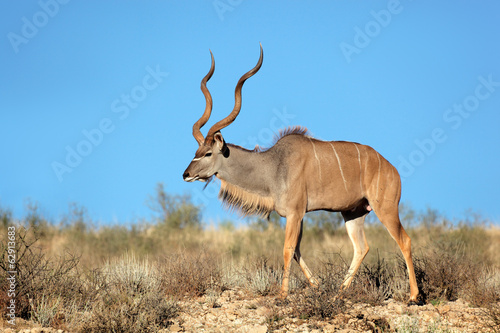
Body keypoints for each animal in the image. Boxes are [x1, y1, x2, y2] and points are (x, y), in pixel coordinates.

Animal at [182, 44, 420, 304]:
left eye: (207, 153)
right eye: (196, 151)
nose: (186, 174)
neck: (273, 166)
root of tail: (392, 169)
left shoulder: (295, 213)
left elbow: (287, 249)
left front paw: (283, 294)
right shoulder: (297, 215)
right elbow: (296, 250)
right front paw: (317, 286)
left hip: (385, 208)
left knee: (404, 241)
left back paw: (413, 296)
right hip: (353, 213)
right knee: (361, 247)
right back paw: (339, 293)